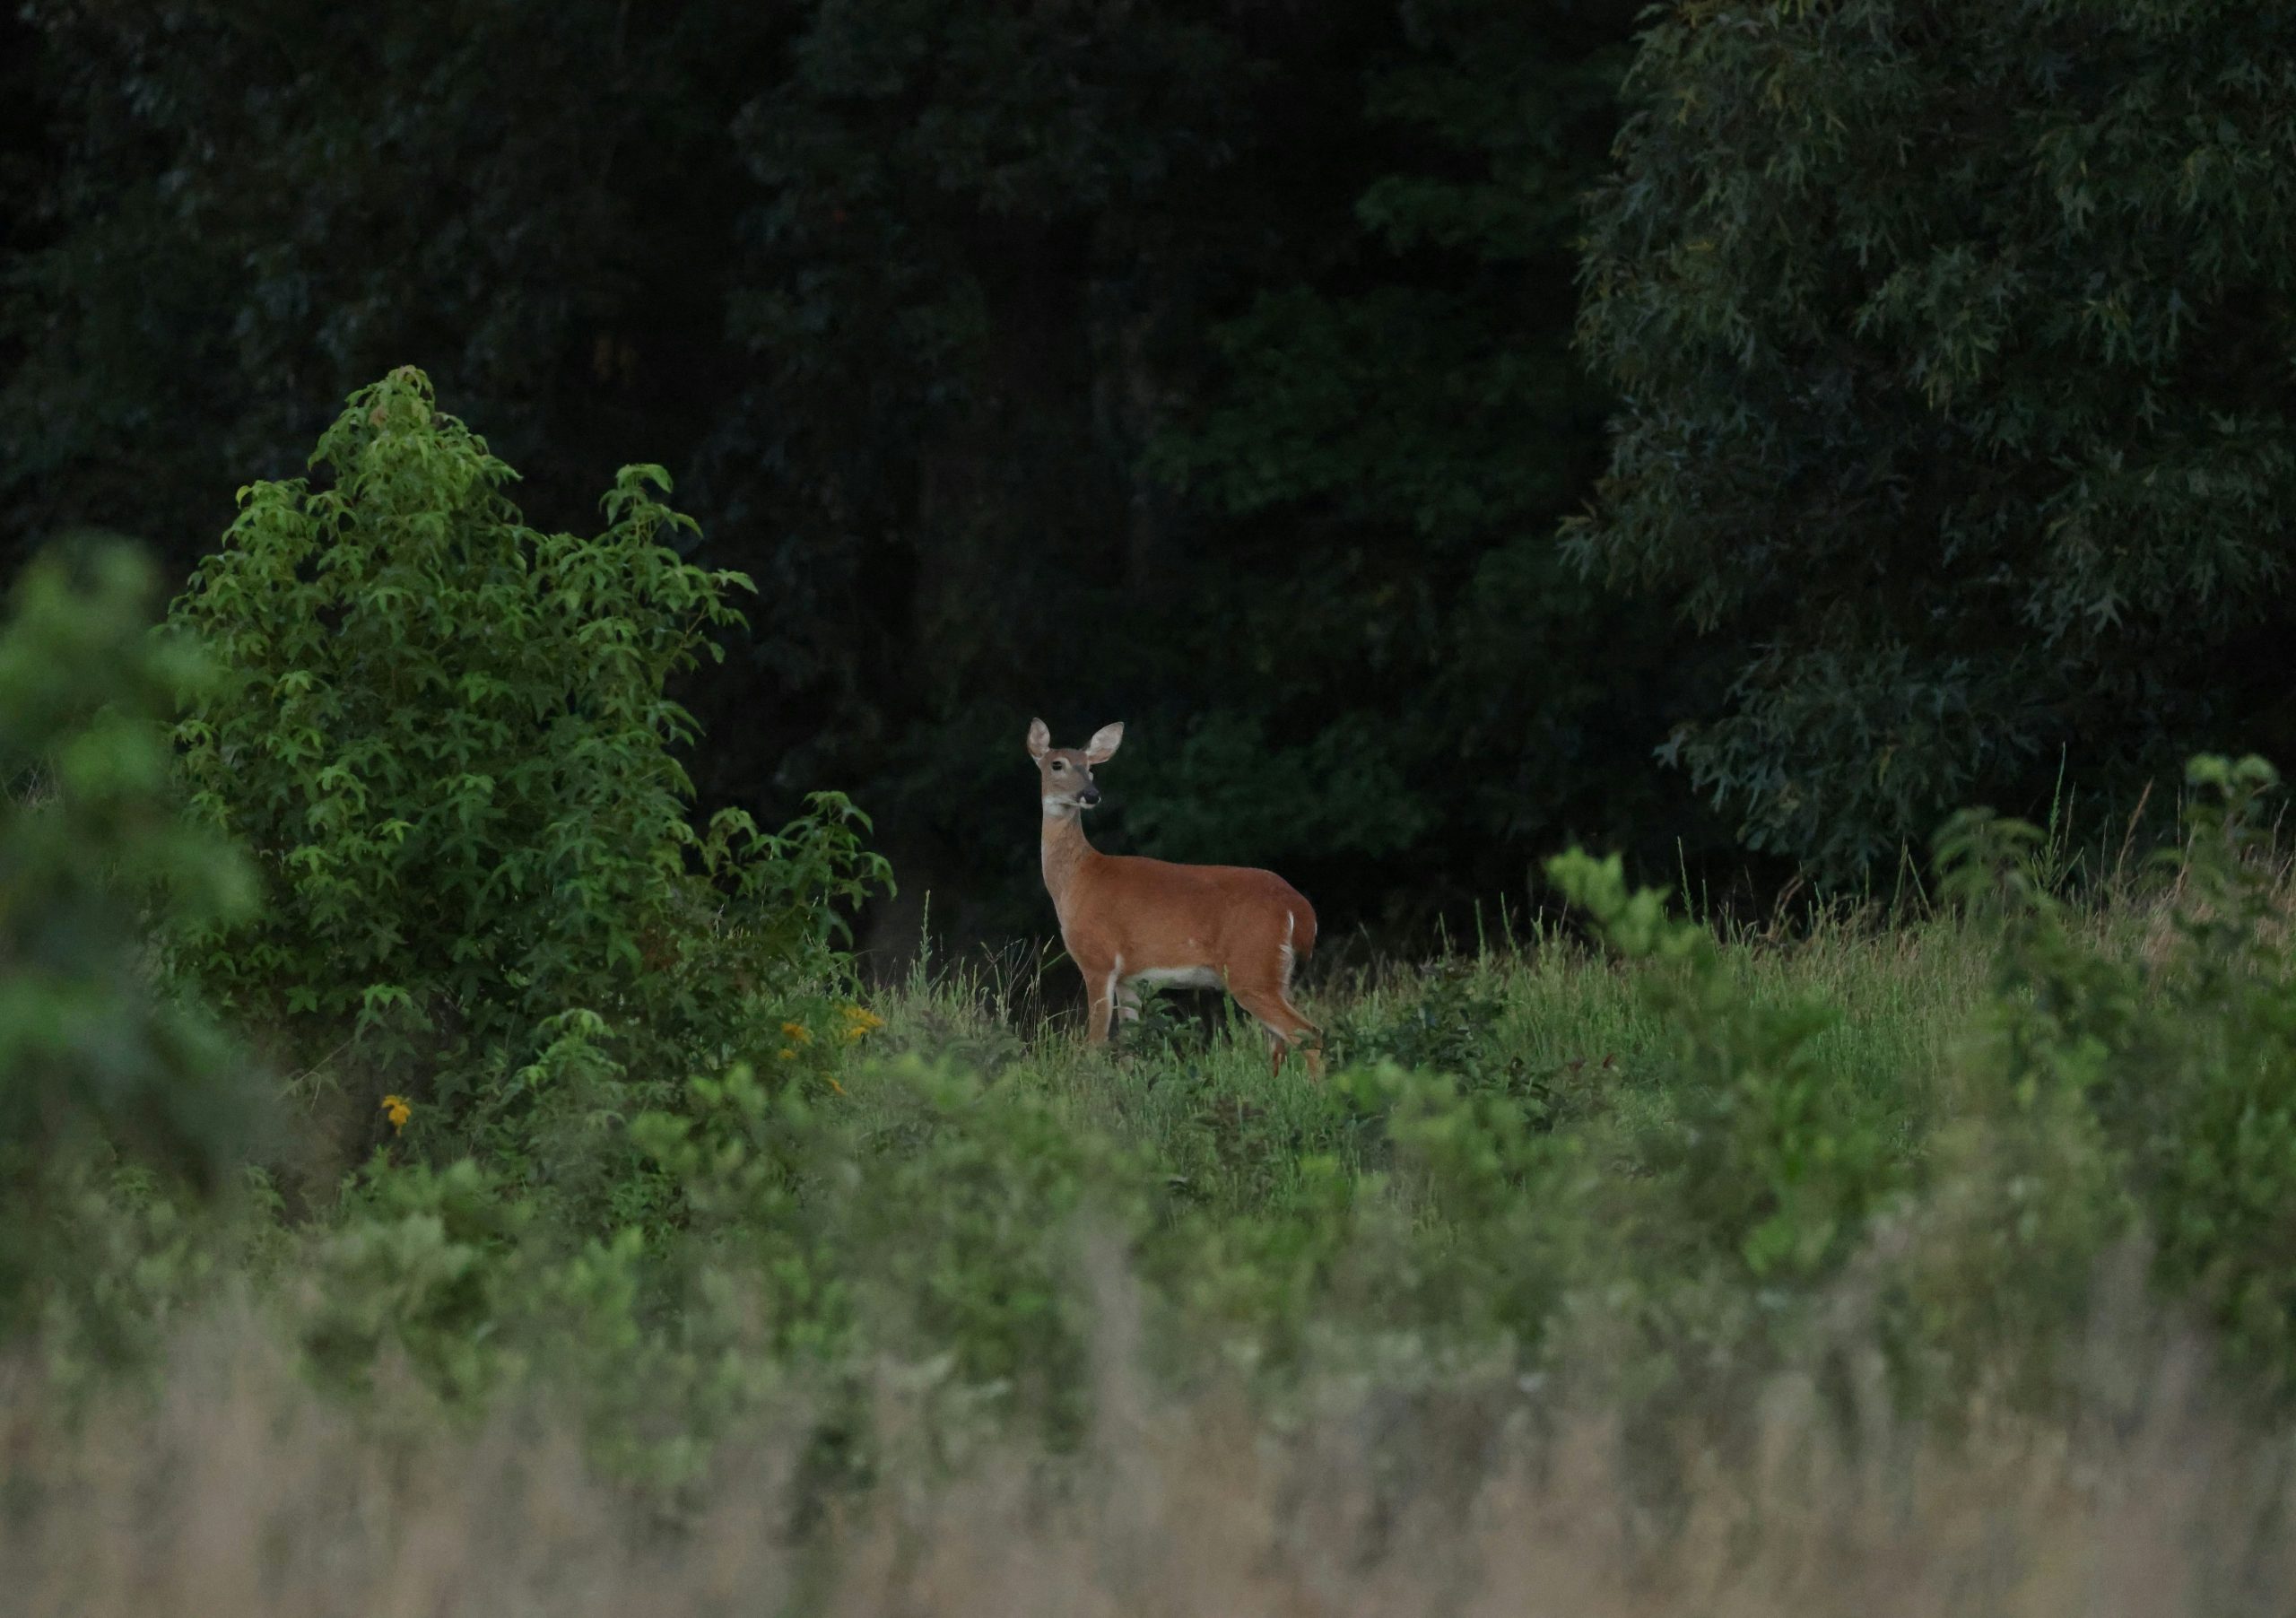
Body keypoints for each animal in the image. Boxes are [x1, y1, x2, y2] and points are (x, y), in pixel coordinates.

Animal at [1028, 718, 1323, 1079]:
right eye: (1057, 764)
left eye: (1091, 768)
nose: (1091, 795)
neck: (1077, 879)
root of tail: (1300, 909)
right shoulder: (1129, 978)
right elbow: (1130, 1046)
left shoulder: (1097, 959)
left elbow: (1095, 1045)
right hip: (1277, 975)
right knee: (1278, 1043)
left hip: (1251, 969)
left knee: (1307, 1033)